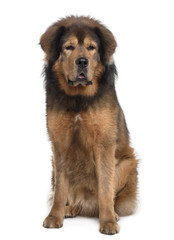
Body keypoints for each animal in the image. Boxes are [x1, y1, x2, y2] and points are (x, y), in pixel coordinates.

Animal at [40, 15, 138, 235]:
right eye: (68, 47)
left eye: (91, 47)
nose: (82, 61)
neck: (78, 98)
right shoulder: (60, 145)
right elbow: (60, 189)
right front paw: (55, 216)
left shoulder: (104, 144)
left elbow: (105, 188)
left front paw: (108, 220)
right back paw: (70, 208)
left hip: (127, 163)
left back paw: (112, 213)